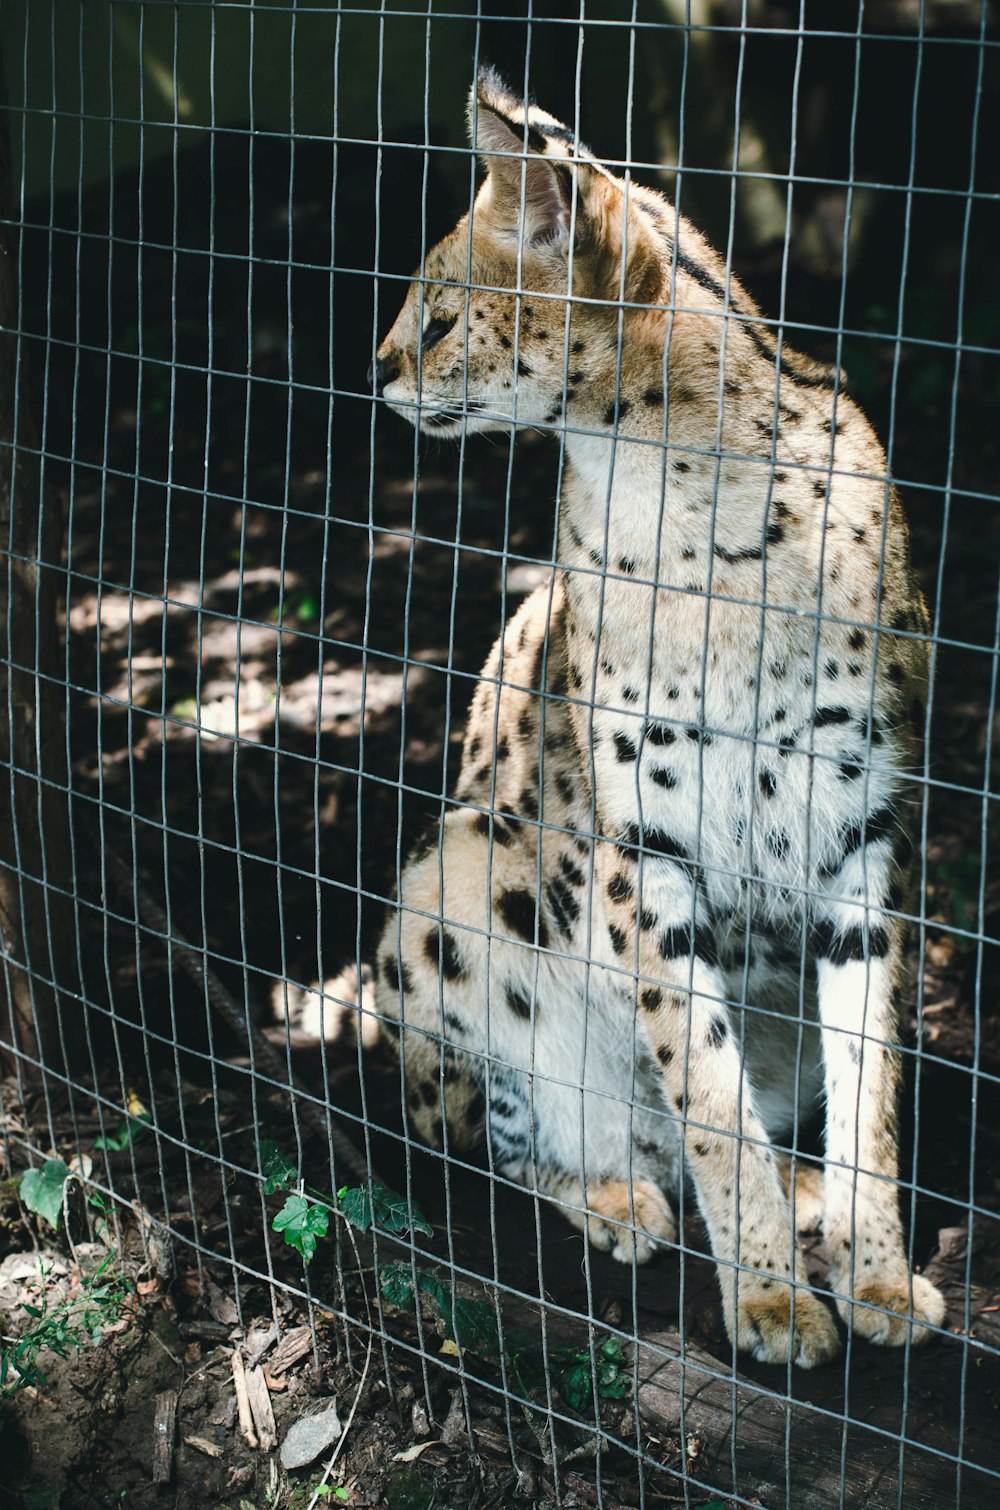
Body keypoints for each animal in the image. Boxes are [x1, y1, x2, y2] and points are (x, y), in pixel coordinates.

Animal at [370, 70, 948, 1371]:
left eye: (439, 317)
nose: (376, 369)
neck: (687, 493)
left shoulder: (865, 828)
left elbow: (873, 1079)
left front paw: (872, 1270)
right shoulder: (644, 847)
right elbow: (708, 1094)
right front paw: (772, 1301)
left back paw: (797, 1195)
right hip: (450, 873)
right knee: (493, 1140)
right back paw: (615, 1191)